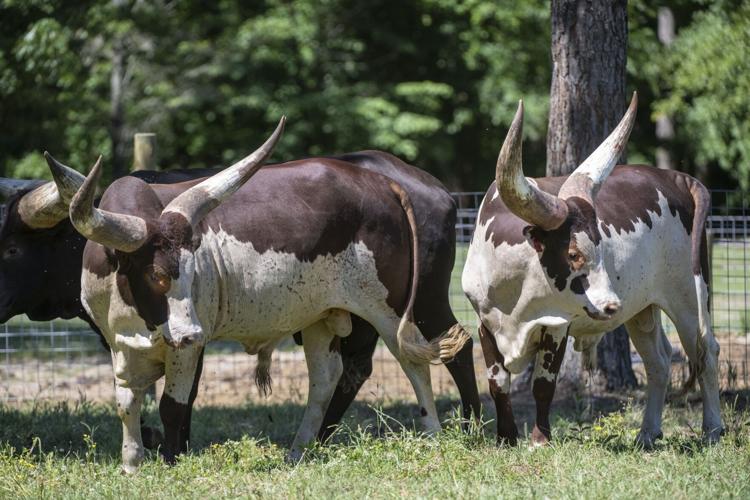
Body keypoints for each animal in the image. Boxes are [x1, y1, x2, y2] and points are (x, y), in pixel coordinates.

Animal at [2, 149, 480, 459]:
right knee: (330, 375)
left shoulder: (188, 348)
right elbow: (127, 402)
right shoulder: (119, 343)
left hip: (397, 305)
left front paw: (172, 459)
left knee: (423, 357)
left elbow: (174, 405)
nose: (190, 331)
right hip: (323, 315)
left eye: (194, 271)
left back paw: (447, 432)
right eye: (157, 275)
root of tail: (388, 182)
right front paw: (132, 462)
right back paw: (301, 450)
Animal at [462, 93, 723, 448]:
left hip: (689, 295)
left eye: (601, 247)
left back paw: (712, 429)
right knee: (659, 361)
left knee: (705, 351)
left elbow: (543, 385)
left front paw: (539, 440)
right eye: (573, 254)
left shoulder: (556, 324)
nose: (612, 305)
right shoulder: (485, 322)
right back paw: (647, 433)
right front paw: (506, 438)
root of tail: (678, 178)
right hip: (643, 308)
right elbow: (497, 383)